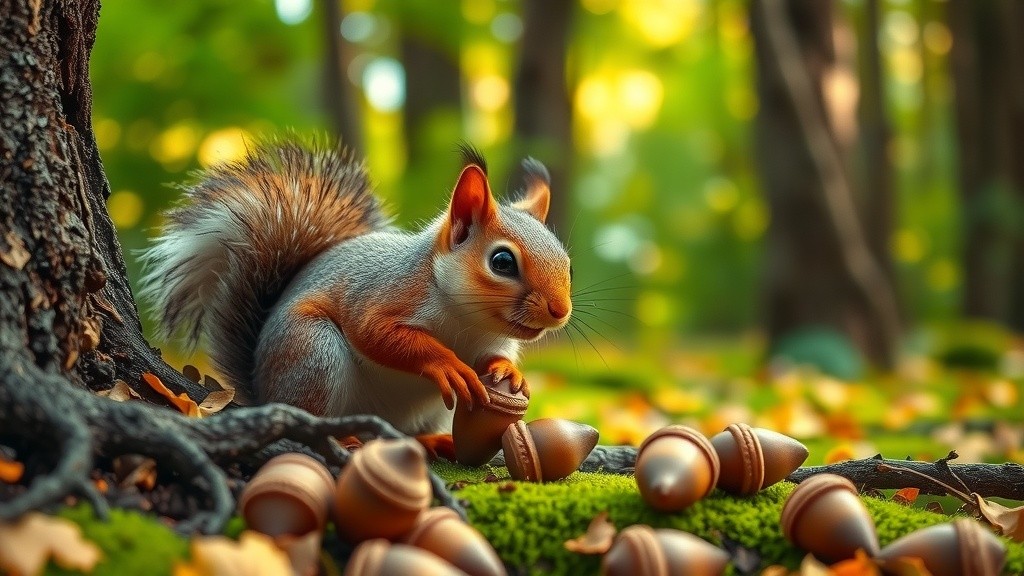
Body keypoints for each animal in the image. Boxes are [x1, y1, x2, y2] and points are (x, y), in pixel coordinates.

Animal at [141, 139, 572, 436]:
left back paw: (433, 442)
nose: (560, 310)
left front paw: (509, 373)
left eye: (567, 262)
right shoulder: (384, 293)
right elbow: (376, 334)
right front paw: (446, 363)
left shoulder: (492, 341)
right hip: (314, 353)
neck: (468, 321)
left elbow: (493, 358)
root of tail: (263, 391)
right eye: (502, 262)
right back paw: (344, 439)